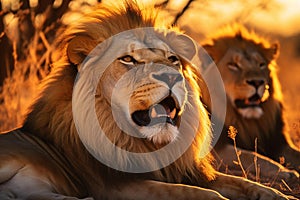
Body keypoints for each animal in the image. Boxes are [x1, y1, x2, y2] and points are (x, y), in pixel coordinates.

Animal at [0, 2, 288, 200]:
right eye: (128, 60)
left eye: (173, 59)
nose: (170, 75)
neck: (145, 144)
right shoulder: (115, 186)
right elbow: (192, 193)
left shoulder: (186, 170)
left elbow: (242, 183)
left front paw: (279, 194)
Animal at [202, 24, 300, 184]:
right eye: (233, 65)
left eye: (261, 64)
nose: (257, 82)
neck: (247, 122)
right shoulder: (215, 149)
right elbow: (252, 156)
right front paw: (286, 172)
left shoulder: (276, 143)